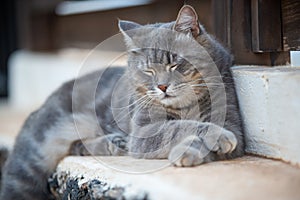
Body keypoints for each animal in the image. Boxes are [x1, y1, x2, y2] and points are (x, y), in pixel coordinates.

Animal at [0, 5, 244, 199]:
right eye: (148, 70)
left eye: (174, 65)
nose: (162, 87)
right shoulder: (144, 132)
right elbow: (182, 127)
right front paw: (203, 142)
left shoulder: (232, 124)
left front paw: (191, 150)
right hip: (39, 149)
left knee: (78, 146)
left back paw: (115, 143)